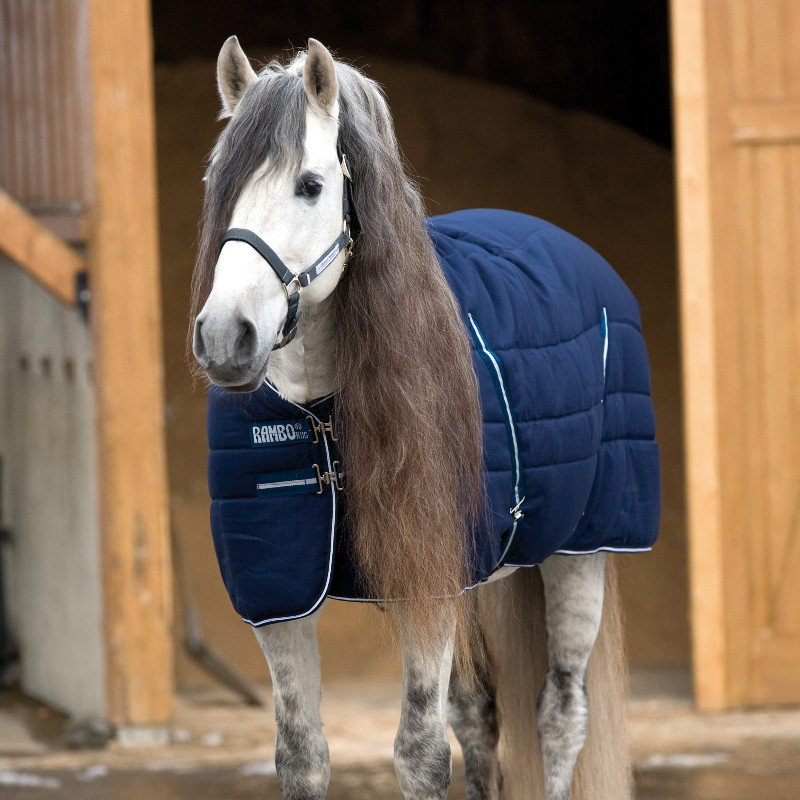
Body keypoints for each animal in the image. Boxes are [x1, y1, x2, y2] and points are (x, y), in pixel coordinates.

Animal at [190, 37, 660, 800]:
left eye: (311, 186)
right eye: (218, 182)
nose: (227, 337)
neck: (322, 417)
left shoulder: (428, 582)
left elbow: (419, 753)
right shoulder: (279, 594)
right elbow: (302, 754)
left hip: (580, 553)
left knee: (560, 715)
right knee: (479, 716)